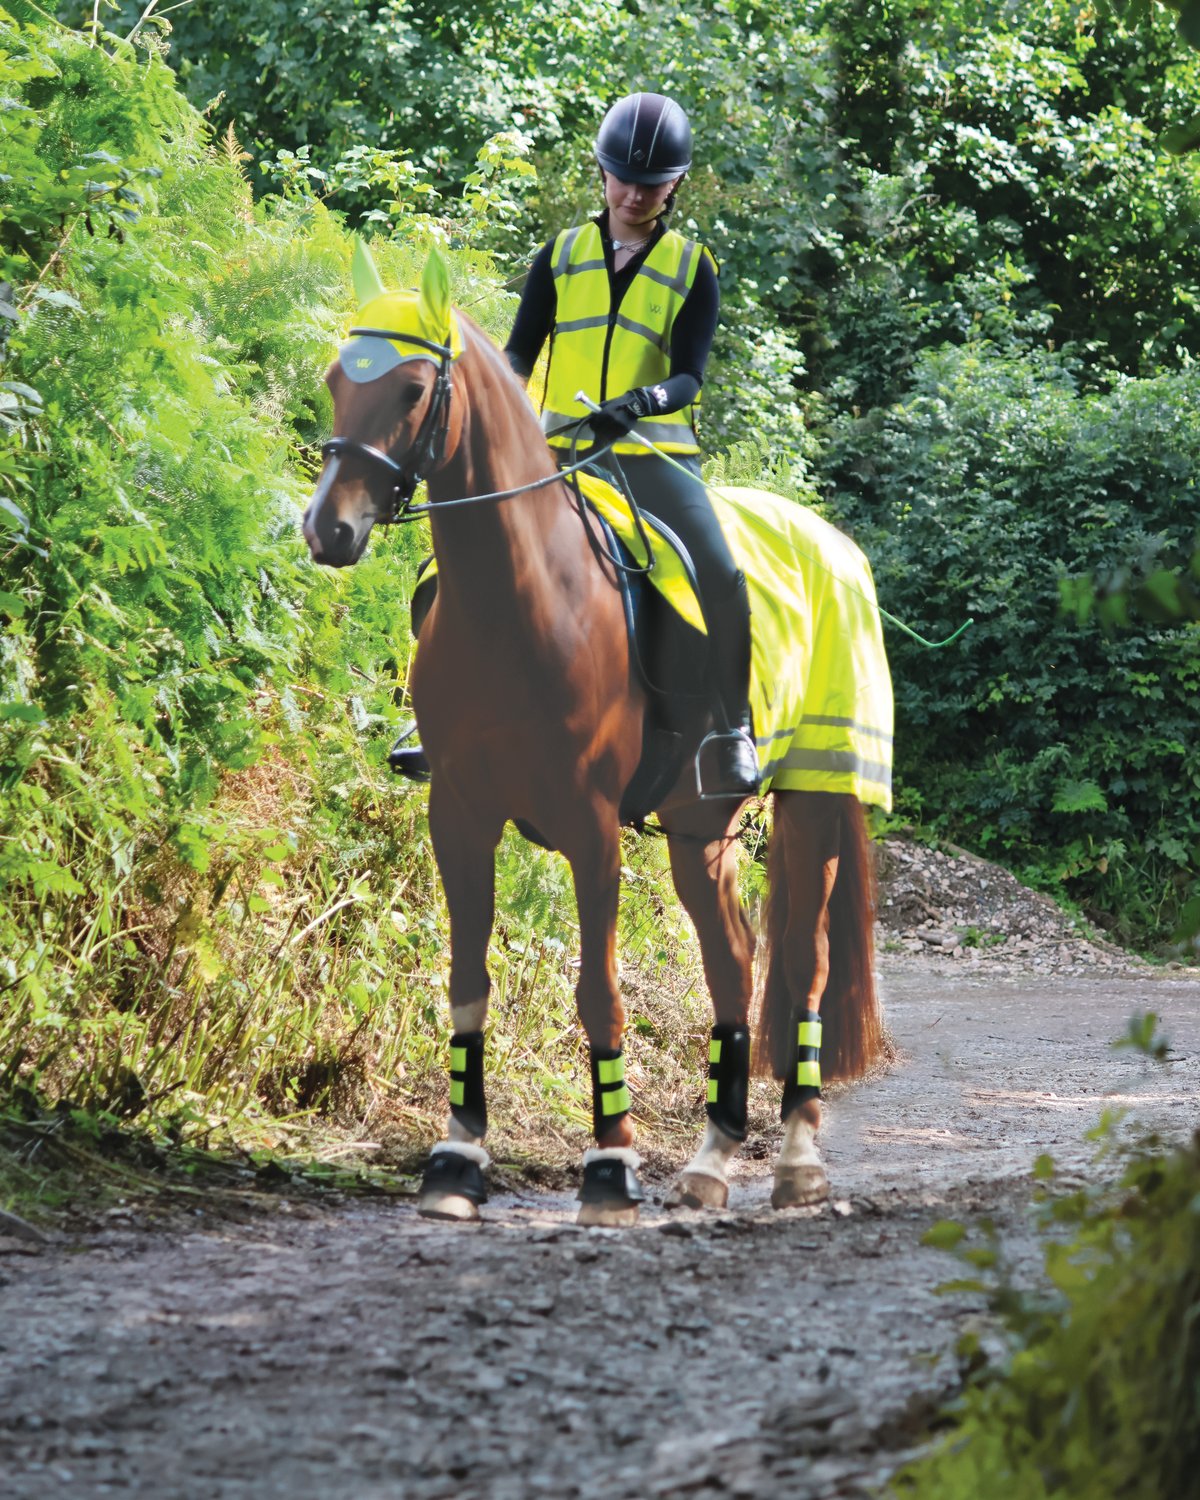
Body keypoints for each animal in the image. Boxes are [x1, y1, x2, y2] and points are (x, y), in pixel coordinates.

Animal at [303, 244, 887, 1226]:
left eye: (415, 388)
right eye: (338, 380)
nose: (328, 528)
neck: (517, 601)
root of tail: (832, 542)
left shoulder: (590, 827)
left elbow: (598, 994)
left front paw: (609, 1167)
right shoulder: (459, 815)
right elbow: (467, 982)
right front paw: (456, 1159)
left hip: (812, 802)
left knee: (800, 967)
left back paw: (798, 1160)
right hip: (699, 829)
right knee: (733, 961)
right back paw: (710, 1162)